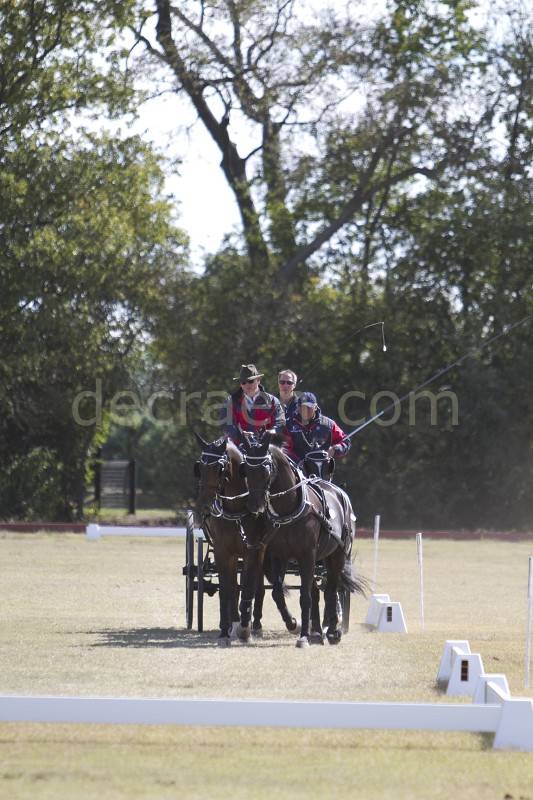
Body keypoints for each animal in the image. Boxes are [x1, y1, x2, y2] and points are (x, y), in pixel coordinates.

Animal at [193, 433, 298, 644]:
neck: (236, 510)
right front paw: (227, 628)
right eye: (200, 467)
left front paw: (244, 629)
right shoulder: (223, 551)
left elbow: (248, 587)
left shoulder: (254, 549)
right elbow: (228, 589)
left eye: (220, 468)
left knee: (262, 588)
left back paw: (255, 624)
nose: (204, 508)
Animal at [238, 433, 366, 647]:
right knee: (317, 590)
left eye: (266, 470)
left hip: (337, 555)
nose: (254, 505)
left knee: (332, 589)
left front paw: (304, 636)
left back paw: (333, 631)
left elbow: (305, 596)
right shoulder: (279, 556)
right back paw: (318, 631)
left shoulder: (307, 554)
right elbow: (278, 592)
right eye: (245, 470)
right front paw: (293, 623)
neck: (288, 508)